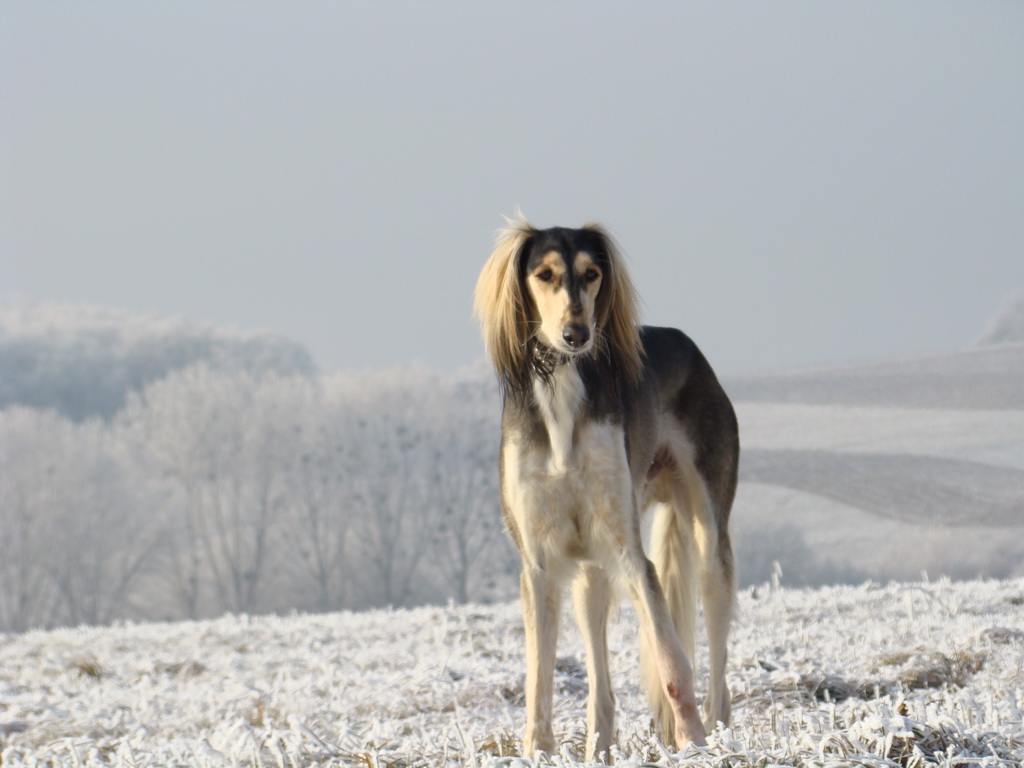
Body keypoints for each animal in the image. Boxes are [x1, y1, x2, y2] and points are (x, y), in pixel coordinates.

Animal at [471, 217, 737, 757]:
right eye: (545, 274)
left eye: (592, 274)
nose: (576, 334)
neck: (562, 386)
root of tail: (688, 343)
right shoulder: (538, 563)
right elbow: (539, 679)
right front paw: (537, 751)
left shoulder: (631, 554)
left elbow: (673, 665)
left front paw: (693, 744)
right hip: (589, 572)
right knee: (602, 683)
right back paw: (600, 747)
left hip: (708, 541)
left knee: (716, 671)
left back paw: (717, 734)